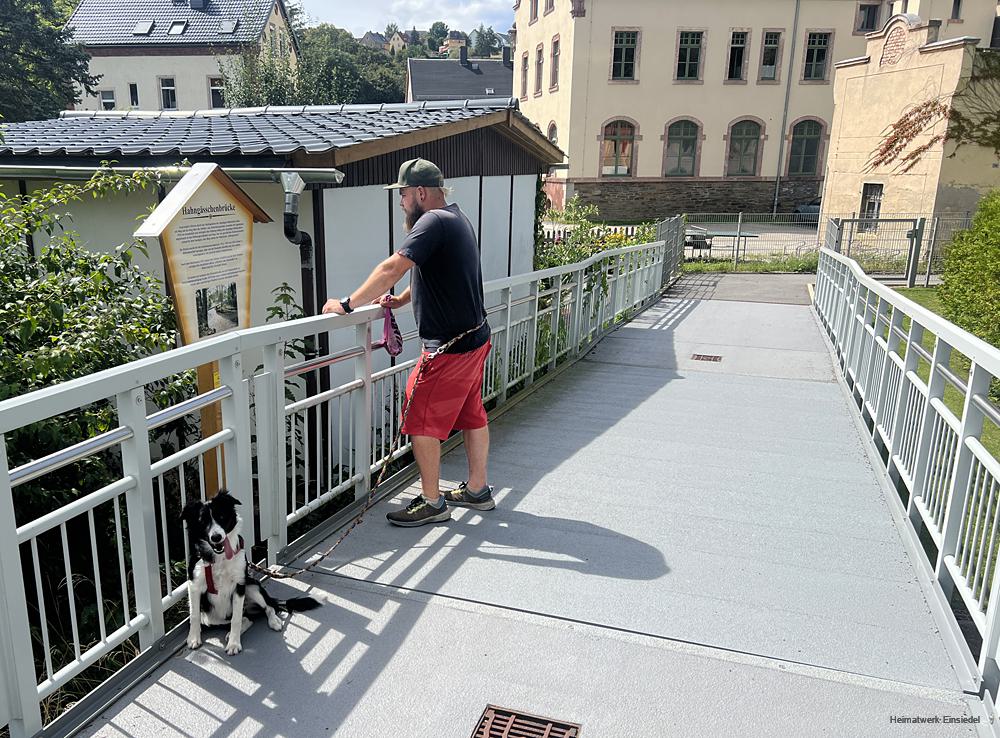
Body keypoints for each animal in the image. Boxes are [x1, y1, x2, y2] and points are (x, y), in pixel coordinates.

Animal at [181, 492, 320, 652]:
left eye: (221, 516)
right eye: (202, 522)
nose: (216, 537)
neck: (219, 558)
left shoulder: (239, 585)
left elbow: (236, 620)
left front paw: (234, 644)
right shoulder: (194, 585)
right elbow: (194, 615)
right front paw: (193, 638)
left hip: (252, 586)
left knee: (267, 608)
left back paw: (273, 622)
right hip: (213, 616)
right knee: (246, 619)